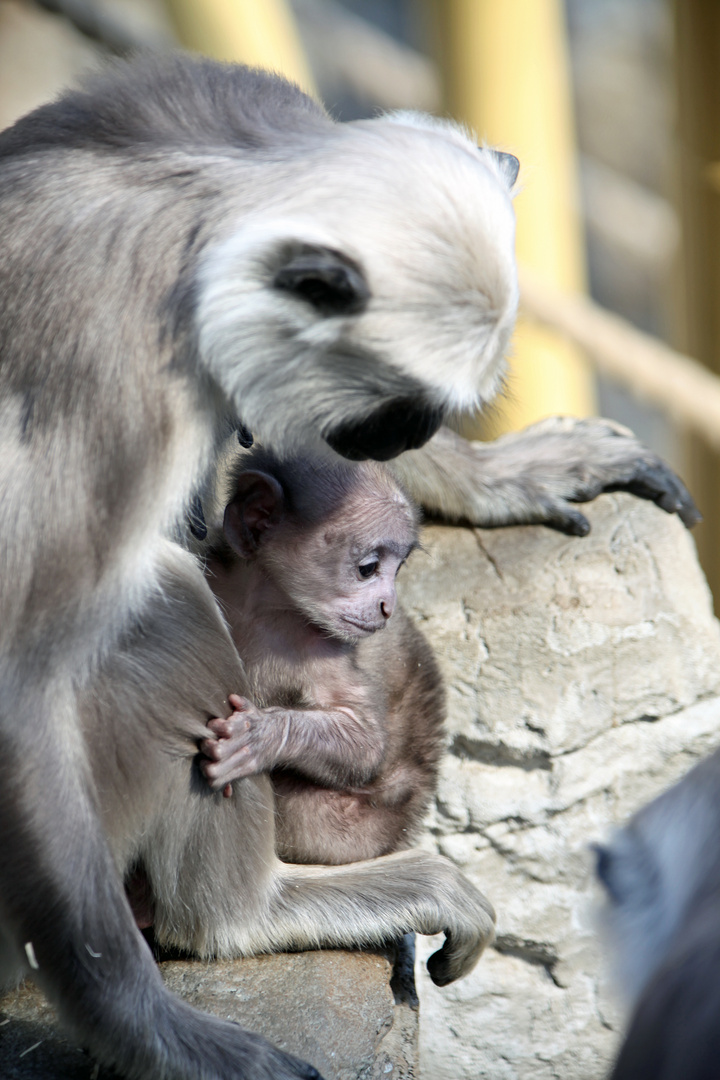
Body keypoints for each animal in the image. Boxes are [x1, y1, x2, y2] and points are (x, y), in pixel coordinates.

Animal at [201, 447, 444, 859]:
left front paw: (262, 737)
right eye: (369, 568)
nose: (388, 606)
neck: (260, 609)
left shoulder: (321, 645)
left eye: (398, 569)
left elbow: (364, 742)